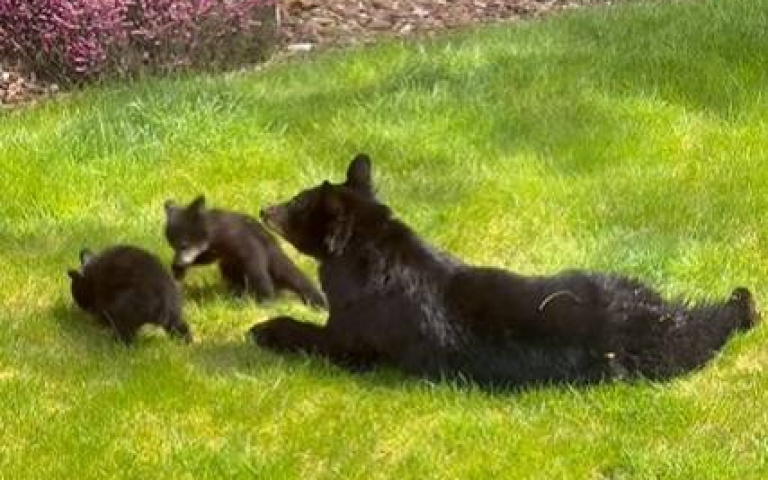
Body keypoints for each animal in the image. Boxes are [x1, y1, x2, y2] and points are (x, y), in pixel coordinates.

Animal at [163, 195, 326, 309]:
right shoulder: (216, 250)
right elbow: (206, 257)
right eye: (172, 245)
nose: (177, 262)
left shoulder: (243, 242)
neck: (212, 231)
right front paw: (178, 270)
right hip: (231, 265)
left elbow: (256, 268)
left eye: (183, 244)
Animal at [249, 153, 760, 387]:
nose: (262, 207)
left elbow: (307, 333)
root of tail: (660, 320)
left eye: (296, 203)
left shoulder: (348, 343)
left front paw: (265, 328)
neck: (372, 251)